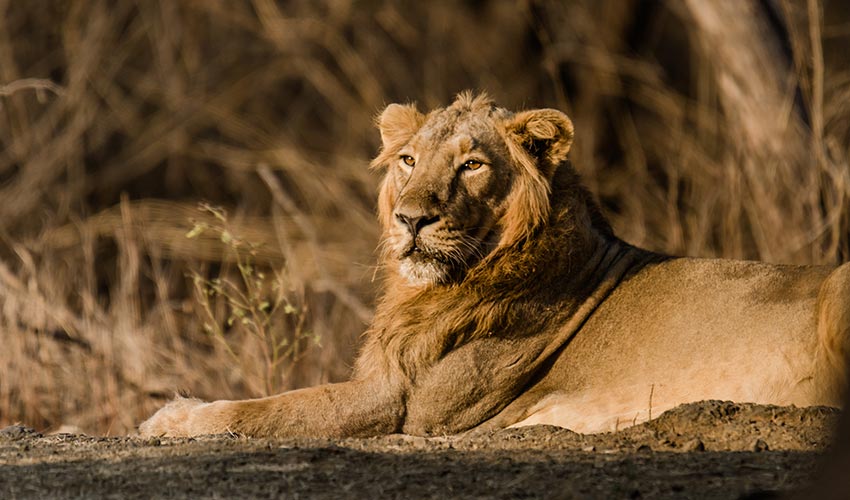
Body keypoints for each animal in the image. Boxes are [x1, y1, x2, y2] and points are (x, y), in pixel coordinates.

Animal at [139, 92, 848, 436]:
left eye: (473, 164)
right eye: (408, 161)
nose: (411, 219)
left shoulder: (407, 408)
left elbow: (271, 408)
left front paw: (172, 418)